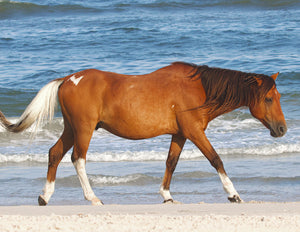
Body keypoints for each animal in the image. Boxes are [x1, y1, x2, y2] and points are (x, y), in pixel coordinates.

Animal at [0, 61, 286, 205]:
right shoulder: (194, 132)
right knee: (77, 159)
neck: (200, 89)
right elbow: (216, 159)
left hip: (71, 128)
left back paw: (45, 196)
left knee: (55, 154)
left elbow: (171, 162)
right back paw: (93, 198)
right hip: (83, 129)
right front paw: (233, 194)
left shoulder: (180, 134)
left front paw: (166, 195)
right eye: (269, 98)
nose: (282, 129)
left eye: (279, 96)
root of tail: (68, 79)